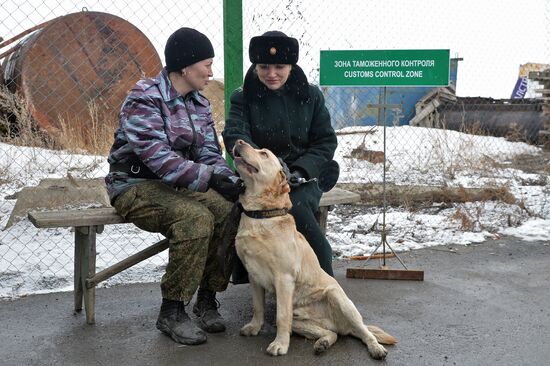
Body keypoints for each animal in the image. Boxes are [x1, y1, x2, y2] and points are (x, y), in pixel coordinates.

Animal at [233, 139, 396, 358]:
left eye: (264, 154)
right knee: (333, 333)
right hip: (300, 321)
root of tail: (339, 324)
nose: (239, 142)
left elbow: (281, 317)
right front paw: (254, 327)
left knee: (363, 332)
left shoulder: (283, 278)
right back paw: (323, 343)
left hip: (339, 300)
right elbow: (257, 307)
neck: (262, 216)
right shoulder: (254, 275)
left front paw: (280, 344)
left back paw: (375, 348)